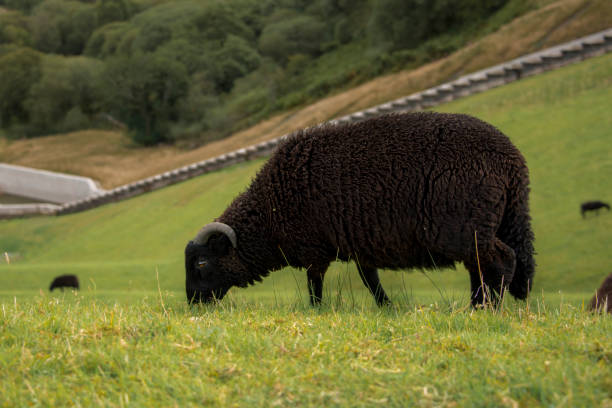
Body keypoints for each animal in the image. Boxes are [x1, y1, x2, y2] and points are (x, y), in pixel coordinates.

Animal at [185, 111, 536, 306]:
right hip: (483, 226)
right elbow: (371, 281)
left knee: (502, 261)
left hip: (465, 227)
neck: (269, 212)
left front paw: (317, 312)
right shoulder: (361, 242)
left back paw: (488, 310)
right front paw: (388, 308)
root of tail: (512, 161)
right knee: (481, 269)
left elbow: (315, 286)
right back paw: (476, 306)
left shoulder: (315, 249)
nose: (192, 304)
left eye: (202, 263)